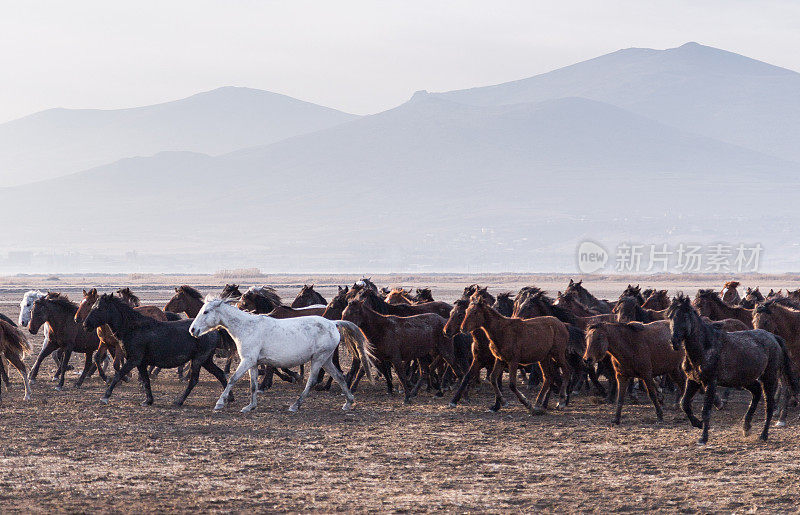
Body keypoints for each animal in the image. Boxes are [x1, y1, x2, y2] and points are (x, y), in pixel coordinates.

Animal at [83, 294, 230, 408]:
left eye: (99, 308)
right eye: (92, 307)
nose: (85, 324)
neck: (133, 328)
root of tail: (215, 329)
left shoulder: (134, 359)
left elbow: (118, 375)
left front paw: (105, 397)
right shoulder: (141, 363)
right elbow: (146, 380)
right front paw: (148, 401)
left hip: (199, 360)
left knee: (194, 380)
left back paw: (179, 401)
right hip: (206, 360)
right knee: (220, 374)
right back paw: (228, 398)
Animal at [188, 300, 378, 414]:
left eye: (206, 312)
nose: (192, 330)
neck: (247, 327)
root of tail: (333, 323)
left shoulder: (247, 361)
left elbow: (232, 379)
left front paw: (219, 403)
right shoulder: (254, 363)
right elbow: (253, 385)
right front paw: (250, 406)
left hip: (318, 359)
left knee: (312, 381)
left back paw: (295, 405)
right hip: (326, 359)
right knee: (339, 376)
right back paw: (348, 402)